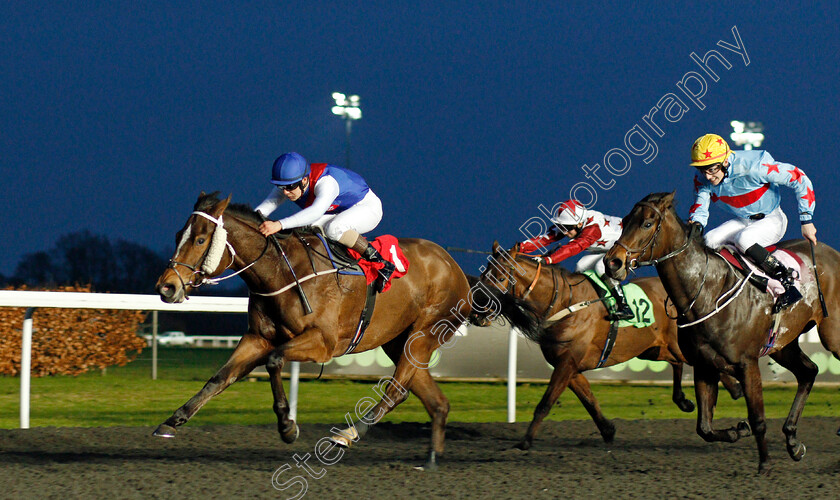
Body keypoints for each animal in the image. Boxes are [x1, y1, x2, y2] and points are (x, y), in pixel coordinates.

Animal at [154, 191, 540, 468]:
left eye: (200, 239)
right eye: (177, 234)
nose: (167, 287)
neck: (282, 271)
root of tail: (458, 270)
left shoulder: (322, 343)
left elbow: (275, 362)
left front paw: (288, 427)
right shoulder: (257, 338)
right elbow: (220, 377)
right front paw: (172, 421)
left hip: (424, 333)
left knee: (397, 390)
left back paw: (350, 433)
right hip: (398, 341)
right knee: (435, 401)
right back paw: (432, 457)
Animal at [480, 242, 740, 450]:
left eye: (500, 277)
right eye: (483, 275)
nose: (480, 310)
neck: (566, 303)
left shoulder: (568, 362)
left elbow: (545, 403)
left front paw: (524, 441)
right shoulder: (570, 366)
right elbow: (590, 401)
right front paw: (608, 430)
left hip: (674, 343)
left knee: (706, 361)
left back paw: (734, 388)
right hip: (654, 349)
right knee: (678, 361)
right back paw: (685, 399)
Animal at [604, 190, 840, 472]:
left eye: (647, 223)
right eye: (625, 220)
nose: (612, 262)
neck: (708, 292)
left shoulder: (747, 364)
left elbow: (758, 418)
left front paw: (765, 463)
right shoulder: (705, 366)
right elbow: (704, 428)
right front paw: (738, 430)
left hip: (833, 335)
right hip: (783, 344)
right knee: (808, 371)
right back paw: (792, 440)